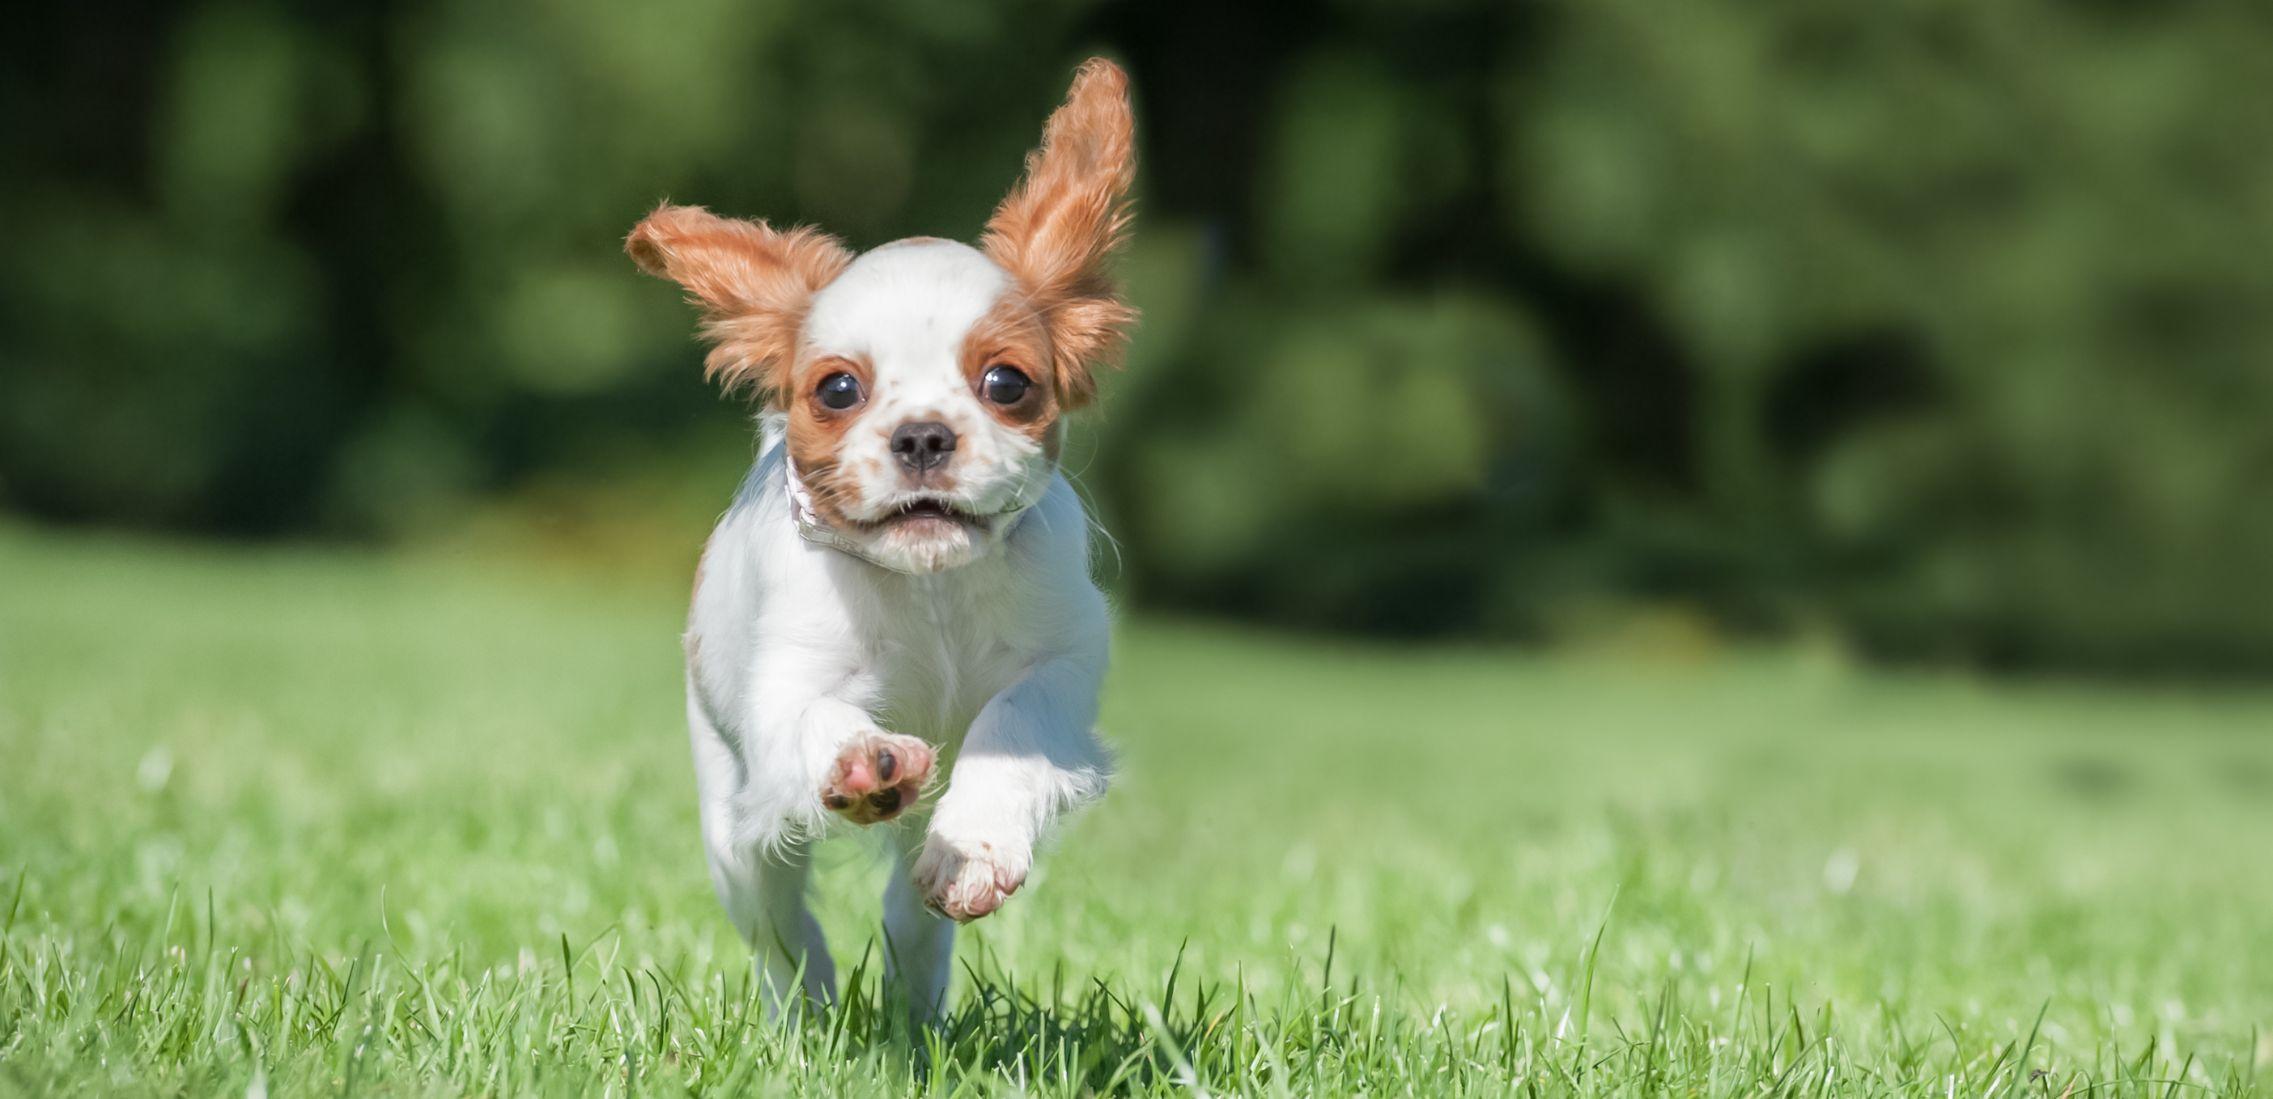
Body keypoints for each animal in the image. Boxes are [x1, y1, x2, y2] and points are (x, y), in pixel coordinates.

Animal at [622, 62, 1136, 1021]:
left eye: (1006, 382)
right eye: (837, 389)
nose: (923, 435)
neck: (928, 582)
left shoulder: (1062, 659)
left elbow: (1012, 720)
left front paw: (978, 844)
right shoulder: (784, 683)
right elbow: (818, 716)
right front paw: (868, 760)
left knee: (910, 913)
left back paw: (916, 997)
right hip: (734, 835)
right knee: (782, 930)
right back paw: (808, 1012)